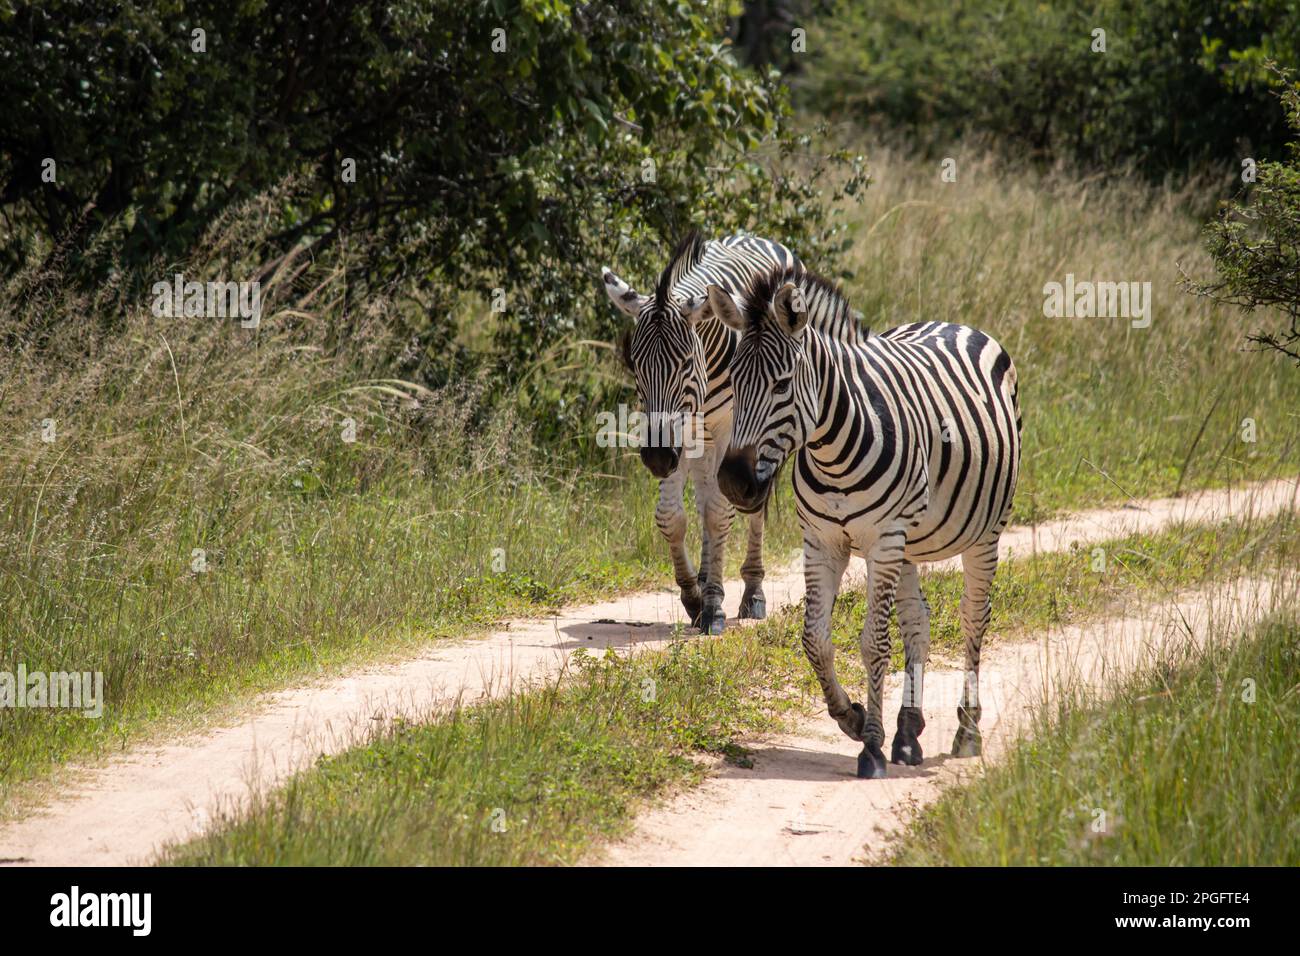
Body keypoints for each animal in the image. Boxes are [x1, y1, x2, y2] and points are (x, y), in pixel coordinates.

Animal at [601, 231, 803, 634]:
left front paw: (713, 607)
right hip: (699, 442)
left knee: (748, 504)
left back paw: (751, 593)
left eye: (684, 363)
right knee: (706, 496)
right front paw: (694, 596)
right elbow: (672, 517)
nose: (656, 458)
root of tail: (752, 235)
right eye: (635, 365)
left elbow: (718, 515)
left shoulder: (727, 432)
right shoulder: (676, 436)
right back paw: (709, 577)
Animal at [705, 266, 1021, 778]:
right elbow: (814, 639)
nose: (734, 483)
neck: (832, 449)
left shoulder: (883, 539)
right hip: (909, 543)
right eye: (732, 380)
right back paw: (909, 731)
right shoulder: (822, 541)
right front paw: (852, 718)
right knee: (918, 619)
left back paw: (967, 730)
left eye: (782, 384)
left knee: (975, 616)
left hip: (983, 534)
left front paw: (871, 746)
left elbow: (874, 642)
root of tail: (953, 324)